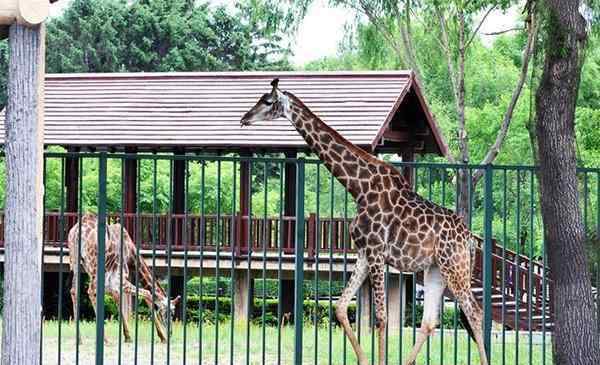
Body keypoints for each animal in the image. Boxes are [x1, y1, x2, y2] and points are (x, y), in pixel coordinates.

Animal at [67, 213, 180, 342]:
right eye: (171, 312)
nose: (170, 333)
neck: (132, 254)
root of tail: (77, 232)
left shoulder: (112, 285)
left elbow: (120, 301)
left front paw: (127, 335)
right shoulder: (119, 279)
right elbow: (147, 294)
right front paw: (161, 336)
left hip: (76, 261)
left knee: (74, 290)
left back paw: (79, 338)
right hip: (94, 266)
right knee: (90, 291)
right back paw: (105, 339)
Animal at [241, 79, 490, 364]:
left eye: (268, 101)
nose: (244, 118)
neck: (358, 187)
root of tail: (469, 238)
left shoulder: (376, 251)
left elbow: (380, 317)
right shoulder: (363, 251)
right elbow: (340, 307)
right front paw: (363, 358)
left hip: (455, 267)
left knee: (474, 312)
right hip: (435, 269)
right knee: (430, 321)